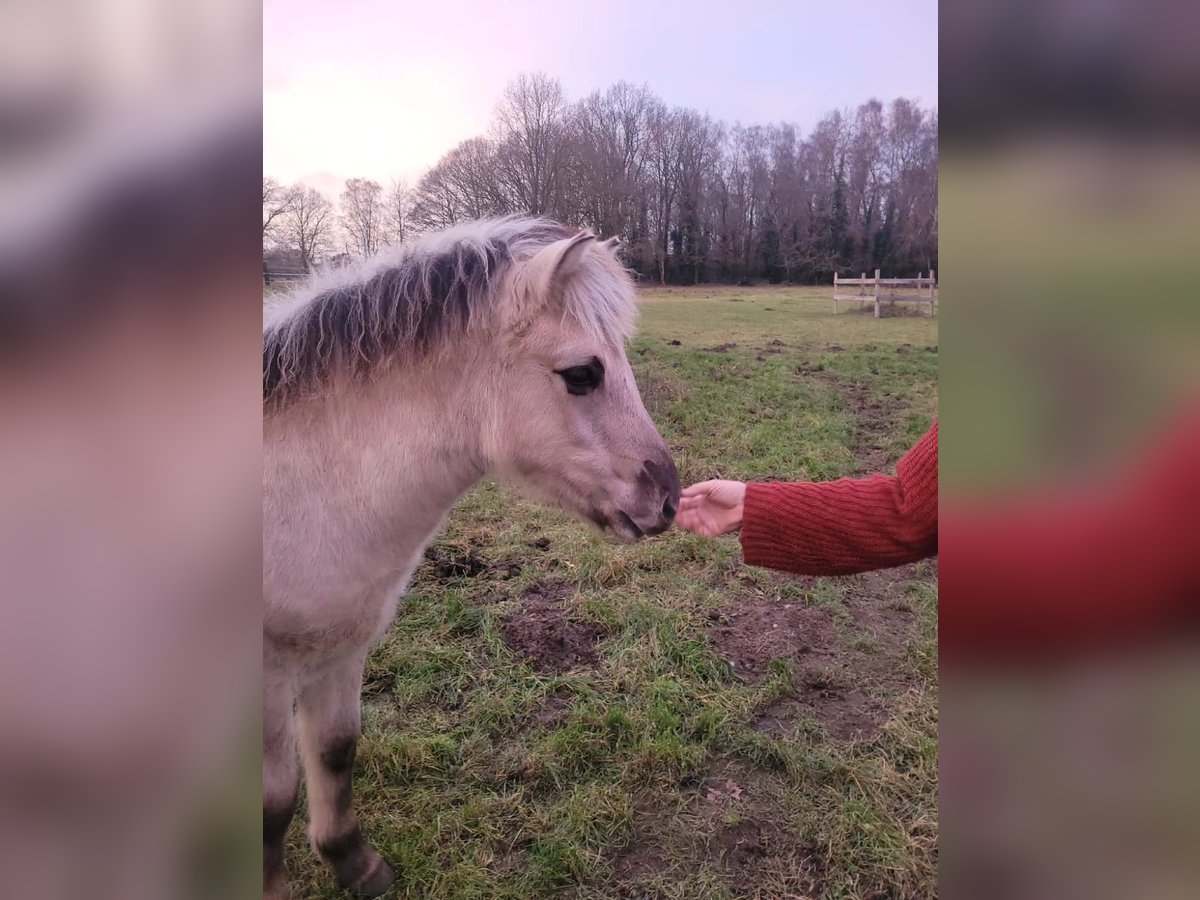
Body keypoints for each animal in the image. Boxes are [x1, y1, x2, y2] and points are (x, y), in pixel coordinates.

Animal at [262, 216, 681, 898]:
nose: (668, 499)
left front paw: (355, 862)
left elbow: (336, 750)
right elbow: (274, 802)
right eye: (582, 374)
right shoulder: (270, 678)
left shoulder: (339, 648)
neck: (301, 489)